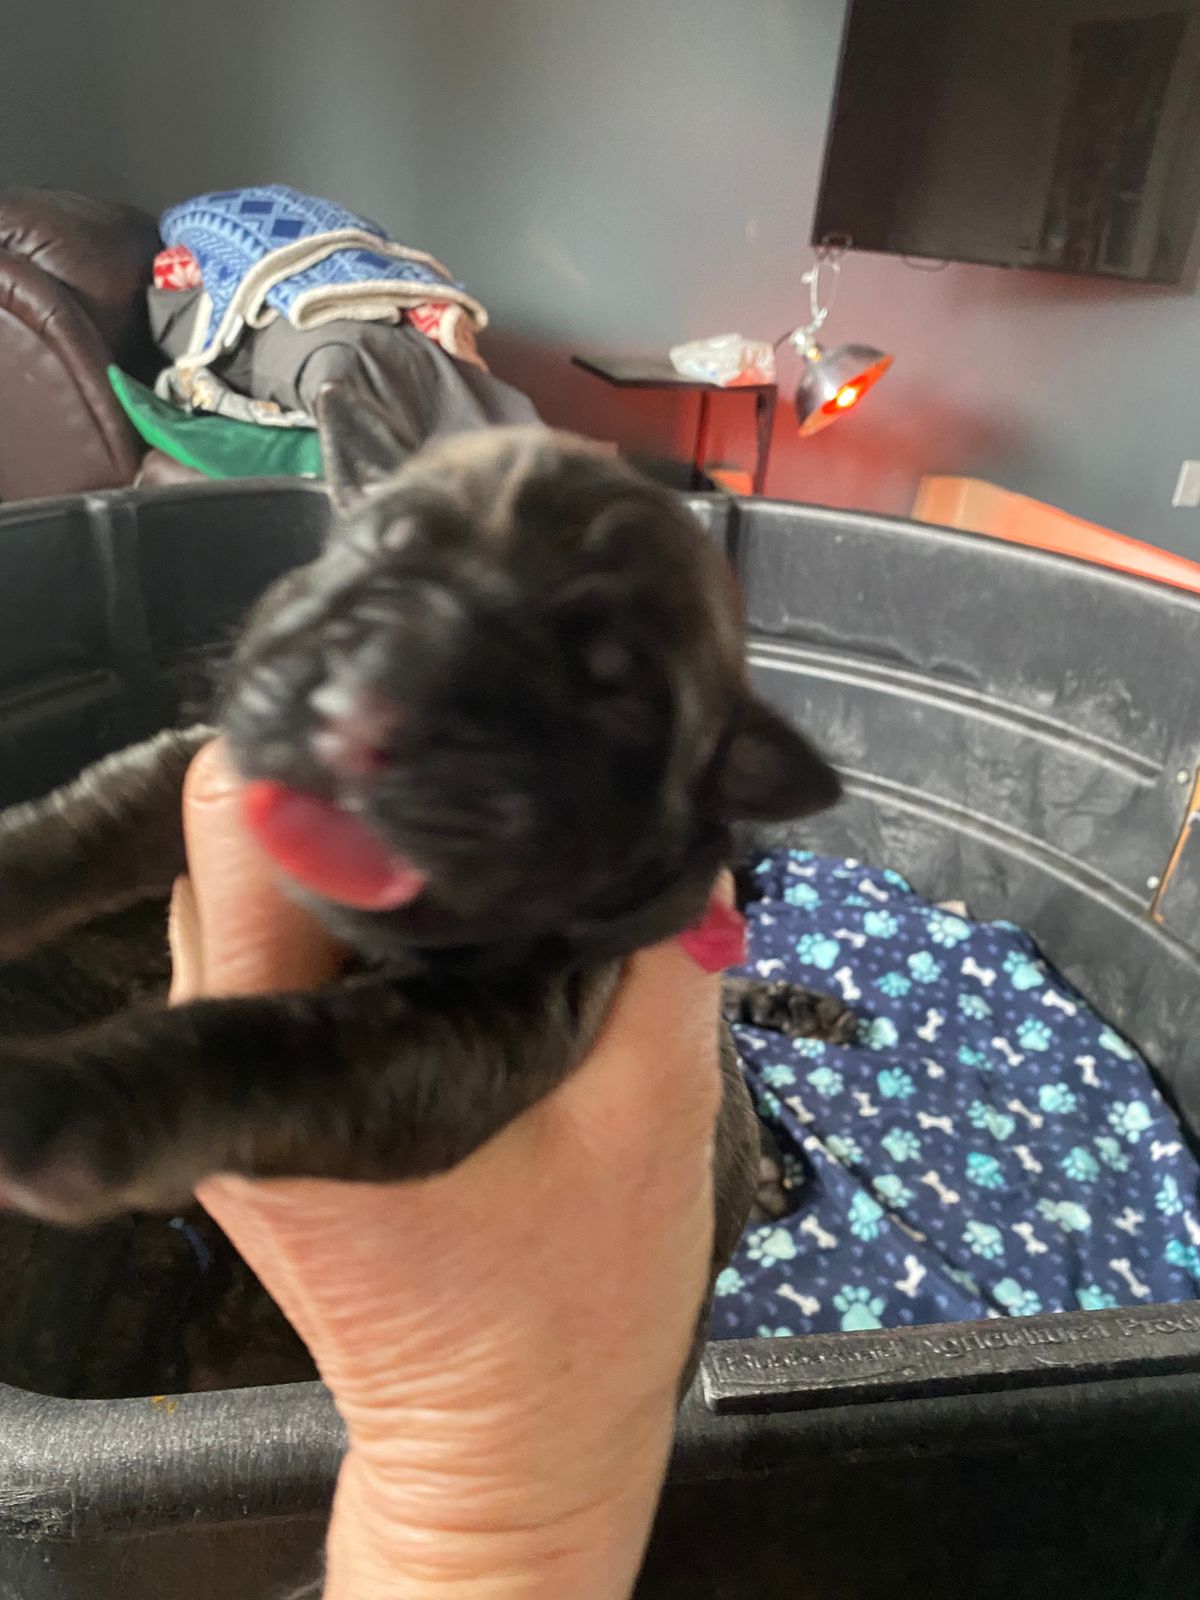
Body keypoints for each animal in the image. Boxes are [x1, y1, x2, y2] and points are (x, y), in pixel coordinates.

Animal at [0, 399, 850, 1381]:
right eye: (383, 543)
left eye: (617, 687)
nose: (385, 689)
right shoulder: (203, 767)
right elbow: (97, 815)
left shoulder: (471, 1038)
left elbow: (264, 1048)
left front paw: (61, 1103)